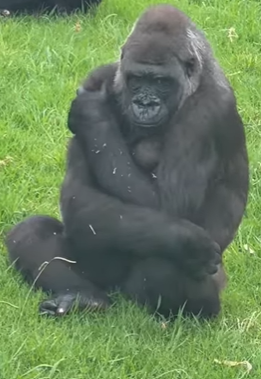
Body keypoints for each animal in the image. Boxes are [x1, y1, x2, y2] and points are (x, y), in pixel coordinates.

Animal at [5, 4, 248, 320]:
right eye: (137, 79)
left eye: (161, 81)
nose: (145, 104)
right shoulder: (99, 77)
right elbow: (77, 194)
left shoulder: (207, 114)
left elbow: (170, 207)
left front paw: (93, 115)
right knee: (31, 232)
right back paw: (84, 297)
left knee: (167, 260)